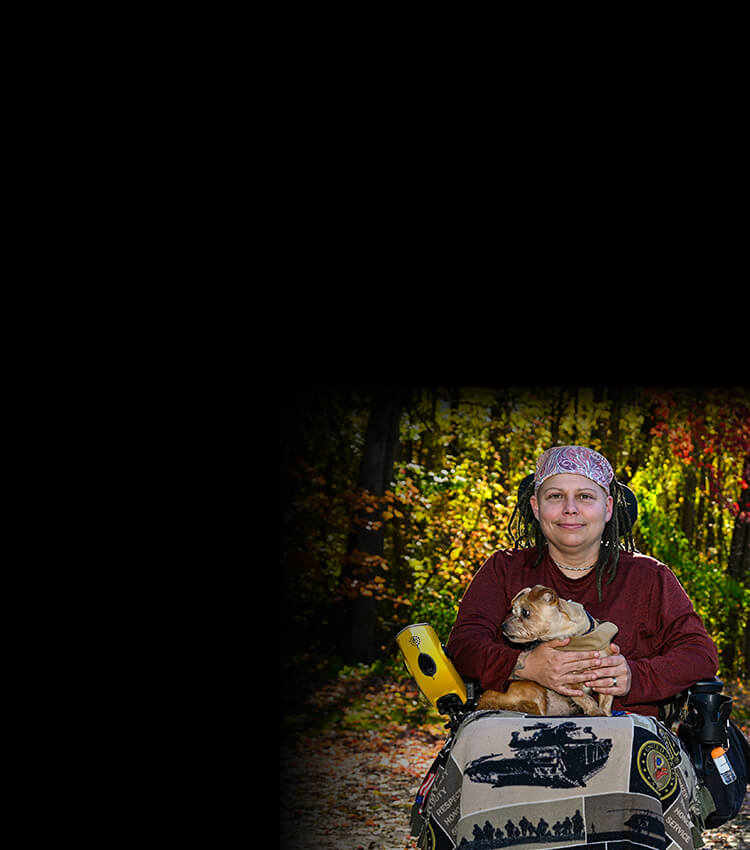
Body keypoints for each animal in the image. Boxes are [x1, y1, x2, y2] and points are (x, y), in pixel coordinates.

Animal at [478, 584, 620, 716]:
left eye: (525, 612)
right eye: (513, 611)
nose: (503, 626)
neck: (578, 638)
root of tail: (482, 702)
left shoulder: (605, 674)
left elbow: (606, 700)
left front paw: (605, 713)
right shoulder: (566, 681)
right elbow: (584, 697)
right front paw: (595, 711)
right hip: (534, 688)